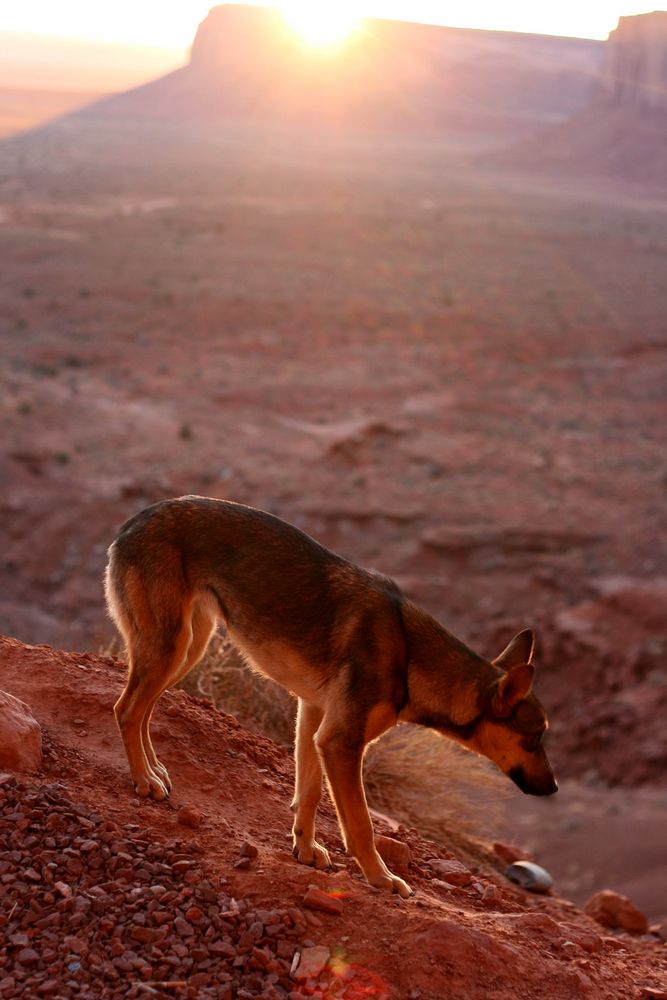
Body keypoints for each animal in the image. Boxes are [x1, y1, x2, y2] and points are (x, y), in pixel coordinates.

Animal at [105, 496, 560, 896]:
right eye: (535, 738)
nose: (554, 787)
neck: (411, 655)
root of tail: (131, 523)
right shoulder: (341, 742)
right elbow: (360, 825)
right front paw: (382, 879)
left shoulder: (313, 717)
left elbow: (306, 794)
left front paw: (305, 850)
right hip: (172, 647)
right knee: (126, 708)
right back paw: (144, 779)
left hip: (187, 649)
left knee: (143, 709)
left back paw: (155, 771)